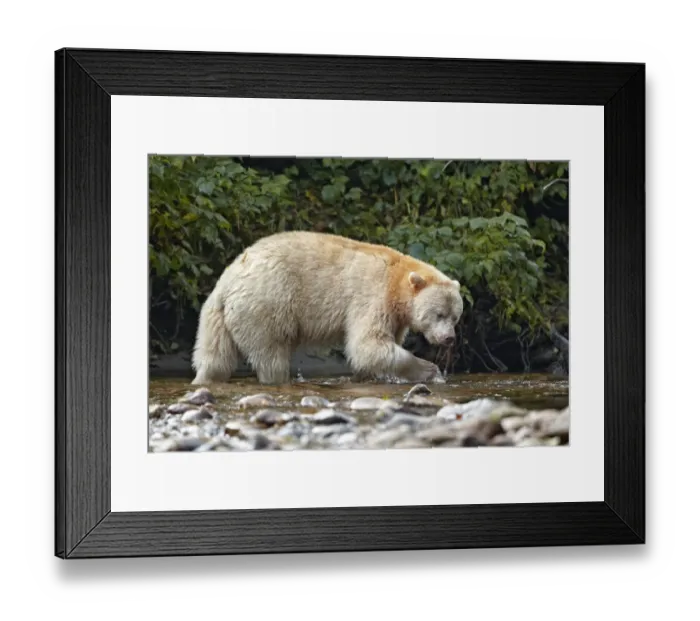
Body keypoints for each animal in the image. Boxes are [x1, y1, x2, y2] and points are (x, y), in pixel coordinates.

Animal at [191, 231, 464, 385]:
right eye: (438, 314)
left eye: (455, 317)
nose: (449, 339)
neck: (397, 280)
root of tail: (228, 281)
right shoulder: (373, 295)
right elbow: (367, 344)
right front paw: (430, 370)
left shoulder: (396, 316)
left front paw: (365, 376)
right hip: (266, 303)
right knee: (271, 354)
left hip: (218, 316)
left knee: (215, 356)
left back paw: (203, 379)